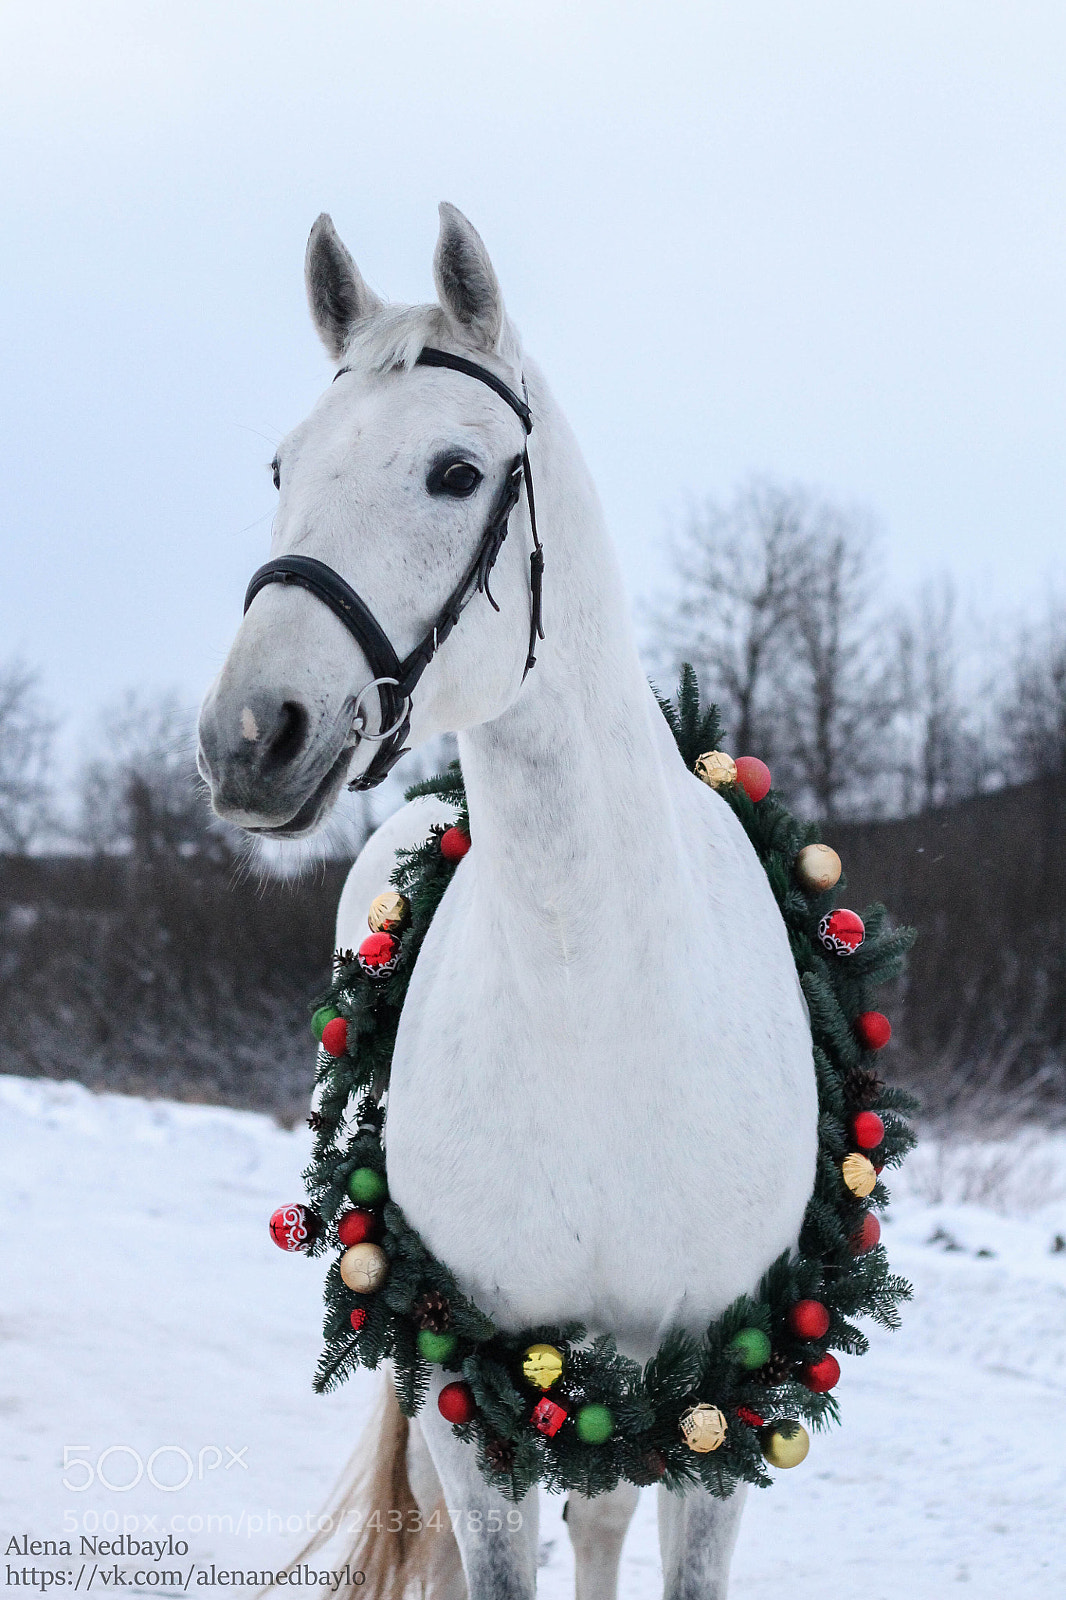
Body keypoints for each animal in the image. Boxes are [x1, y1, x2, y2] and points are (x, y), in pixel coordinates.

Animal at [197, 204, 818, 1600]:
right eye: (281, 465)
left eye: (453, 472)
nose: (252, 735)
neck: (601, 994)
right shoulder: (467, 1398)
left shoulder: (729, 1392)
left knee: (603, 1514)